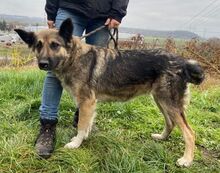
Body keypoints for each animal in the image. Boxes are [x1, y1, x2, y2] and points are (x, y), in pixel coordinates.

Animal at [15, 18, 205, 167]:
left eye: (55, 45)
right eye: (38, 46)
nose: (43, 64)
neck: (74, 57)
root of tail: (183, 62)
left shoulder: (87, 102)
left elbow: (81, 125)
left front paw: (76, 143)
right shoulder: (89, 104)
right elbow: (86, 124)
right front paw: (84, 138)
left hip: (168, 102)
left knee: (190, 133)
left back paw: (186, 160)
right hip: (160, 100)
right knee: (171, 123)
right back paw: (162, 137)